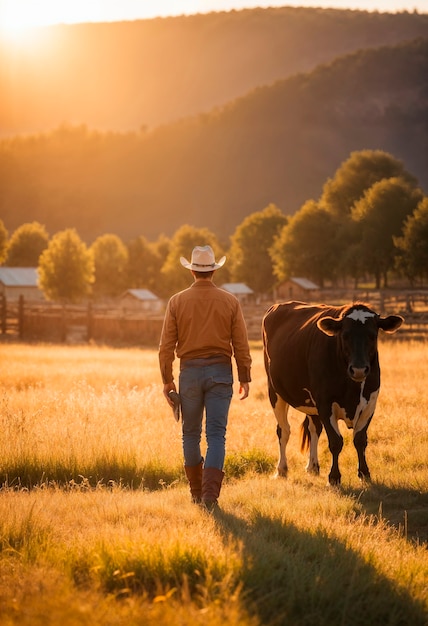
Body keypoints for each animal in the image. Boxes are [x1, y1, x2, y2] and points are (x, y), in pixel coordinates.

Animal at [260, 300, 404, 486]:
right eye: (345, 335)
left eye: (373, 335)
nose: (359, 369)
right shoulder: (325, 403)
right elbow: (336, 441)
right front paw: (334, 477)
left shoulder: (370, 403)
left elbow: (360, 440)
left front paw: (364, 473)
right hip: (275, 392)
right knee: (283, 431)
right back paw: (282, 469)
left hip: (310, 402)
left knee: (314, 428)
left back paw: (312, 466)